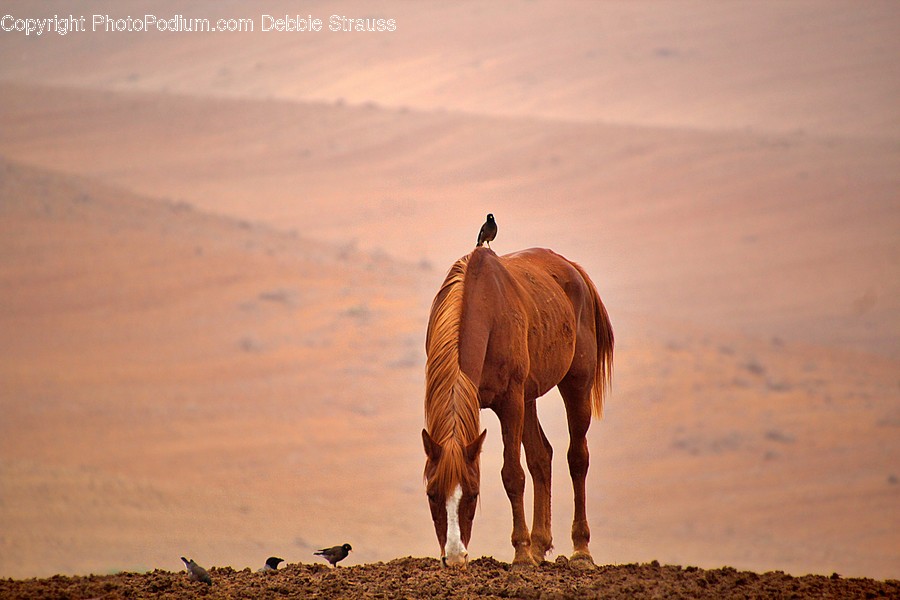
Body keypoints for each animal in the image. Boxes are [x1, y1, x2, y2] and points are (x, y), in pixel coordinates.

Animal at [422, 246, 614, 568]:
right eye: (432, 493)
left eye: (473, 494)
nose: (455, 557)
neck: (484, 307)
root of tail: (574, 270)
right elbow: (530, 463)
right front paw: (529, 549)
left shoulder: (510, 402)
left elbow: (512, 474)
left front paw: (521, 554)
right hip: (529, 397)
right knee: (541, 456)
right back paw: (539, 544)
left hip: (576, 384)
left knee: (577, 458)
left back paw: (580, 550)